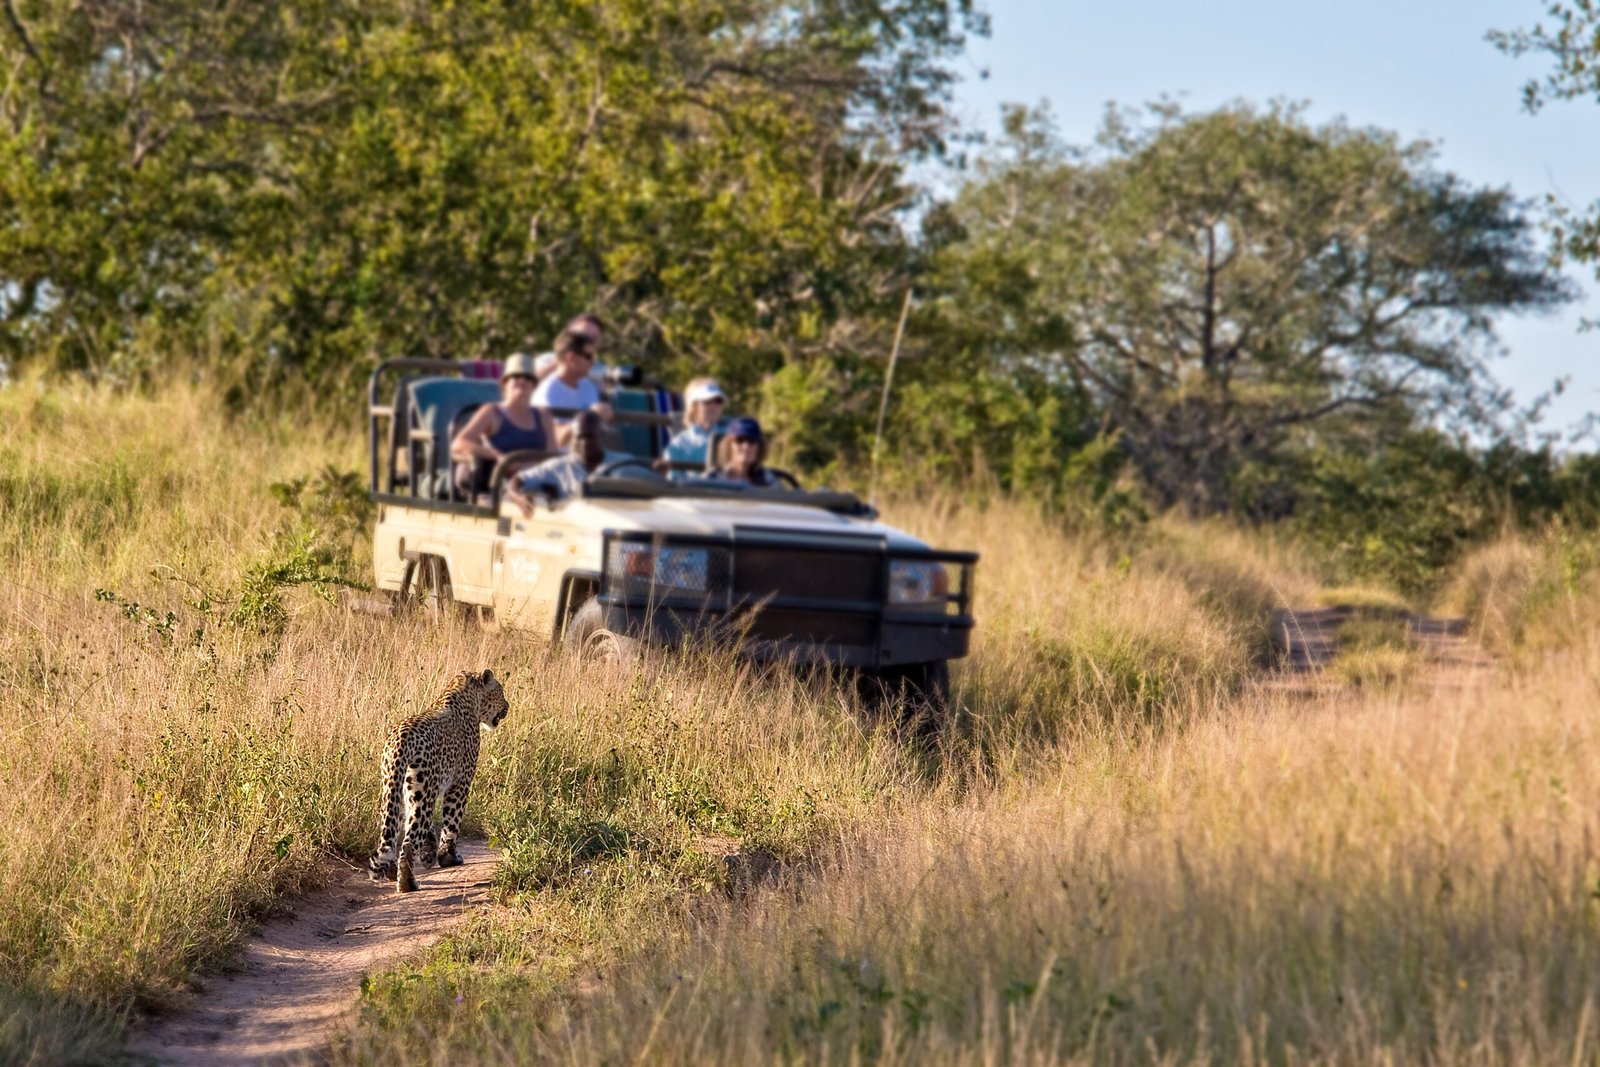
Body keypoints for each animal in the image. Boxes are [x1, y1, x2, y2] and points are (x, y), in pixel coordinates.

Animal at [367, 668, 510, 893]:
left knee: (392, 831)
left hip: (394, 789)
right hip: (422, 791)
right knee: (409, 841)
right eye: (500, 691)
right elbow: (452, 822)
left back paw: (391, 871)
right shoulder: (460, 782)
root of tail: (401, 739)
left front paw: (429, 854)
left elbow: (430, 832)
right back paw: (407, 883)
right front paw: (448, 857)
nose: (508, 706)